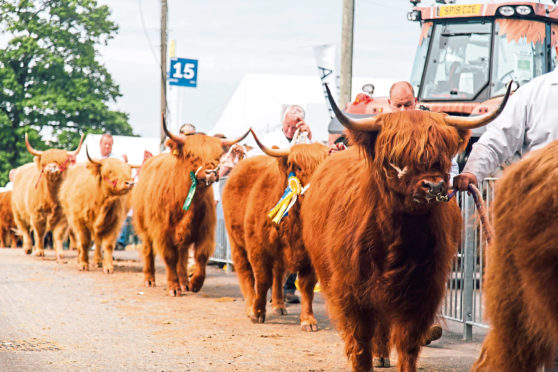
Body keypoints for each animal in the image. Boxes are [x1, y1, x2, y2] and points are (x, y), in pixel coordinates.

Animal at [132, 117, 248, 296]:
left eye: (217, 156)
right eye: (192, 155)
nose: (211, 173)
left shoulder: (205, 229)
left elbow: (200, 256)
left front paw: (194, 284)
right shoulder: (162, 231)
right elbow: (170, 257)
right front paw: (173, 287)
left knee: (183, 254)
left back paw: (184, 282)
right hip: (144, 226)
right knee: (148, 249)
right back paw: (149, 279)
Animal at [222, 131, 328, 332]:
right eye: (299, 167)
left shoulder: (310, 255)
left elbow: (306, 286)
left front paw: (308, 320)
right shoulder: (258, 249)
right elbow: (262, 280)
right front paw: (257, 312)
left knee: (278, 274)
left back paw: (279, 305)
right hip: (236, 242)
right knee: (245, 272)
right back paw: (250, 304)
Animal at [302, 85, 512, 372]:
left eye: (443, 157)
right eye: (395, 158)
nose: (433, 186)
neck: (396, 235)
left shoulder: (423, 290)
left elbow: (408, 343)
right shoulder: (352, 291)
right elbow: (360, 343)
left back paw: (382, 354)